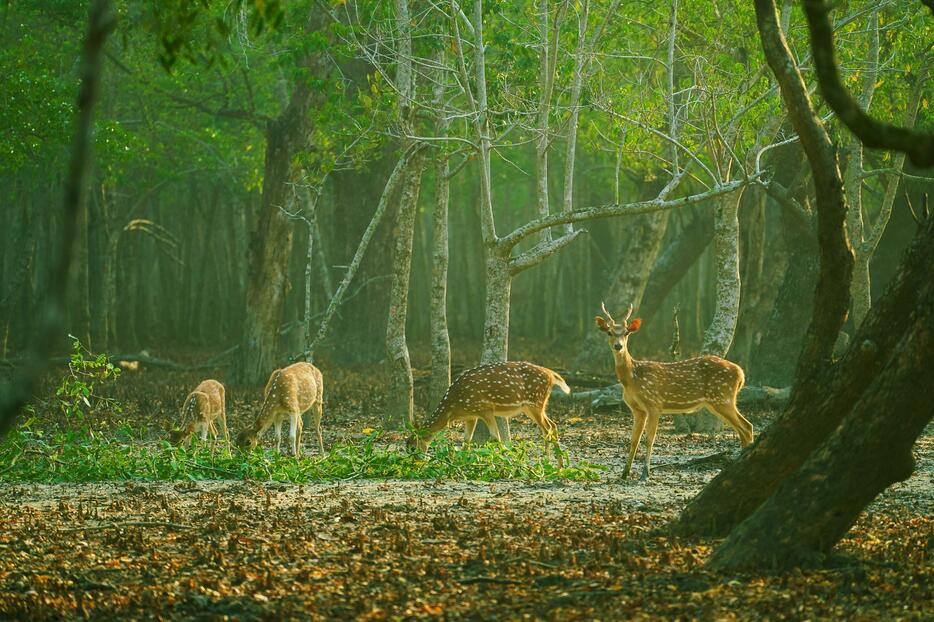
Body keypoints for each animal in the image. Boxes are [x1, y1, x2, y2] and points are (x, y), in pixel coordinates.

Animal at [414, 360, 576, 468]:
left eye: (412, 446)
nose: (415, 463)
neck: (454, 407)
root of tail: (552, 374)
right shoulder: (471, 415)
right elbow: (466, 440)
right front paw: (462, 463)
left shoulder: (484, 408)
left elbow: (495, 437)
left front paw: (506, 463)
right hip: (531, 407)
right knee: (552, 426)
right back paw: (554, 463)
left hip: (535, 403)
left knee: (547, 428)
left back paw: (551, 462)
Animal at [596, 304, 756, 482]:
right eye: (609, 332)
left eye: (626, 332)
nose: (618, 346)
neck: (633, 378)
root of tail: (741, 373)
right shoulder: (638, 410)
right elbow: (633, 440)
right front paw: (625, 473)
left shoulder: (654, 404)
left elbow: (649, 440)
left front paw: (645, 474)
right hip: (717, 402)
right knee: (742, 428)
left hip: (722, 397)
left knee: (747, 427)